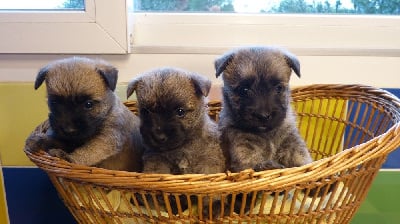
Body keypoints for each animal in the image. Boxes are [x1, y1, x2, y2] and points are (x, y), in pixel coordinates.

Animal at [128, 67, 228, 220]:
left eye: (180, 112)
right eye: (145, 111)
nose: (158, 136)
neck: (183, 146)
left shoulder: (210, 161)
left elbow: (211, 182)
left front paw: (213, 205)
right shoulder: (156, 159)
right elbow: (154, 175)